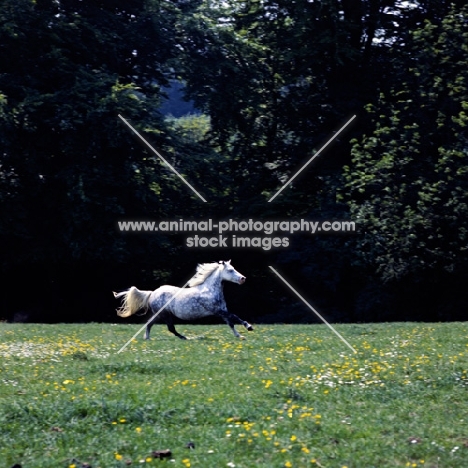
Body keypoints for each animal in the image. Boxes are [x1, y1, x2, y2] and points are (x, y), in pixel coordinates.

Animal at [114, 260, 254, 340]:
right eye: (230, 270)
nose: (243, 278)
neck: (209, 290)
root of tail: (152, 293)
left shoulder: (222, 311)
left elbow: (231, 323)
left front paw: (239, 335)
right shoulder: (217, 311)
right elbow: (234, 317)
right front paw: (249, 327)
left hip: (160, 314)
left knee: (150, 323)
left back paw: (147, 338)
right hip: (165, 314)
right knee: (170, 328)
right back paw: (185, 338)